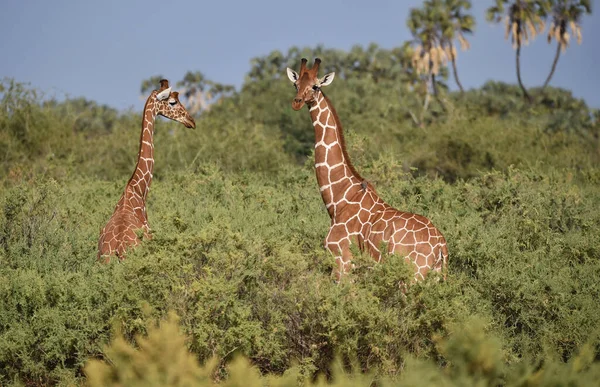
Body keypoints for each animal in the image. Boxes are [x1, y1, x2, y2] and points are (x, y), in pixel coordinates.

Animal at [288, 58, 450, 282]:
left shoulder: (343, 259)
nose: (296, 102)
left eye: (315, 86)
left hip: (413, 274)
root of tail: (441, 246)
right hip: (437, 276)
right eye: (296, 84)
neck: (338, 199)